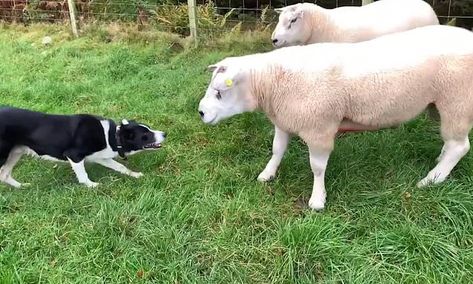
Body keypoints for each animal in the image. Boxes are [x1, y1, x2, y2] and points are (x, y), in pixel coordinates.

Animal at [0, 106, 166, 189]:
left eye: (149, 128)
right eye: (146, 135)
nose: (165, 134)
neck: (111, 136)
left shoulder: (102, 157)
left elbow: (120, 167)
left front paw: (135, 174)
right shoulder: (74, 155)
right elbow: (83, 176)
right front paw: (92, 186)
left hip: (15, 153)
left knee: (4, 175)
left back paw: (22, 186)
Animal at [197, 24, 472, 210]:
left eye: (219, 92)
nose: (201, 113)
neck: (270, 82)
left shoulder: (319, 127)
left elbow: (317, 167)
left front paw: (317, 200)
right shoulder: (284, 119)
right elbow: (277, 150)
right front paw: (267, 174)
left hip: (457, 101)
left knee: (459, 146)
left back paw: (432, 179)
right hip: (438, 105)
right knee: (452, 143)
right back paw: (439, 162)